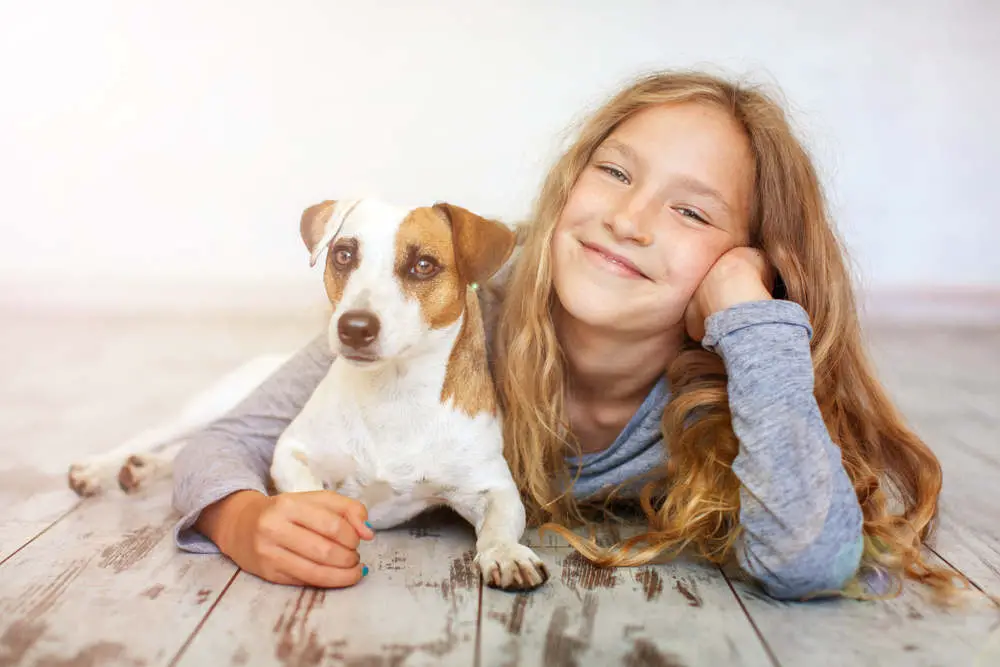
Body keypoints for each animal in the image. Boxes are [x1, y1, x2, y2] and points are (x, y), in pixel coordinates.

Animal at [68, 197, 556, 588]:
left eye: (423, 265)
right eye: (343, 255)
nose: (354, 327)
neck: (393, 393)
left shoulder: (493, 486)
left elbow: (499, 524)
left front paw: (505, 554)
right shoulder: (290, 450)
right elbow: (304, 491)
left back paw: (141, 469)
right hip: (216, 404)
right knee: (167, 436)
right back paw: (99, 468)